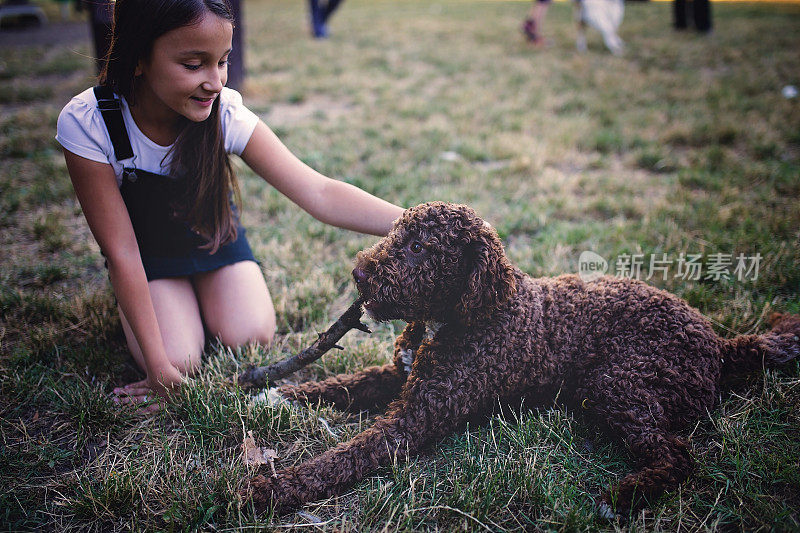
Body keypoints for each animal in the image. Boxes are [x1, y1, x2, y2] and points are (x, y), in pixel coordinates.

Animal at [245, 201, 800, 516]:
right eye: (397, 233)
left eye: (421, 246)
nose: (359, 275)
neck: (467, 313)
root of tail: (719, 345)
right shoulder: (397, 374)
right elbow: (339, 384)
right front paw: (273, 394)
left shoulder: (415, 417)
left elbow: (346, 455)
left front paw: (276, 488)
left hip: (619, 383)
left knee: (678, 455)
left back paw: (621, 497)